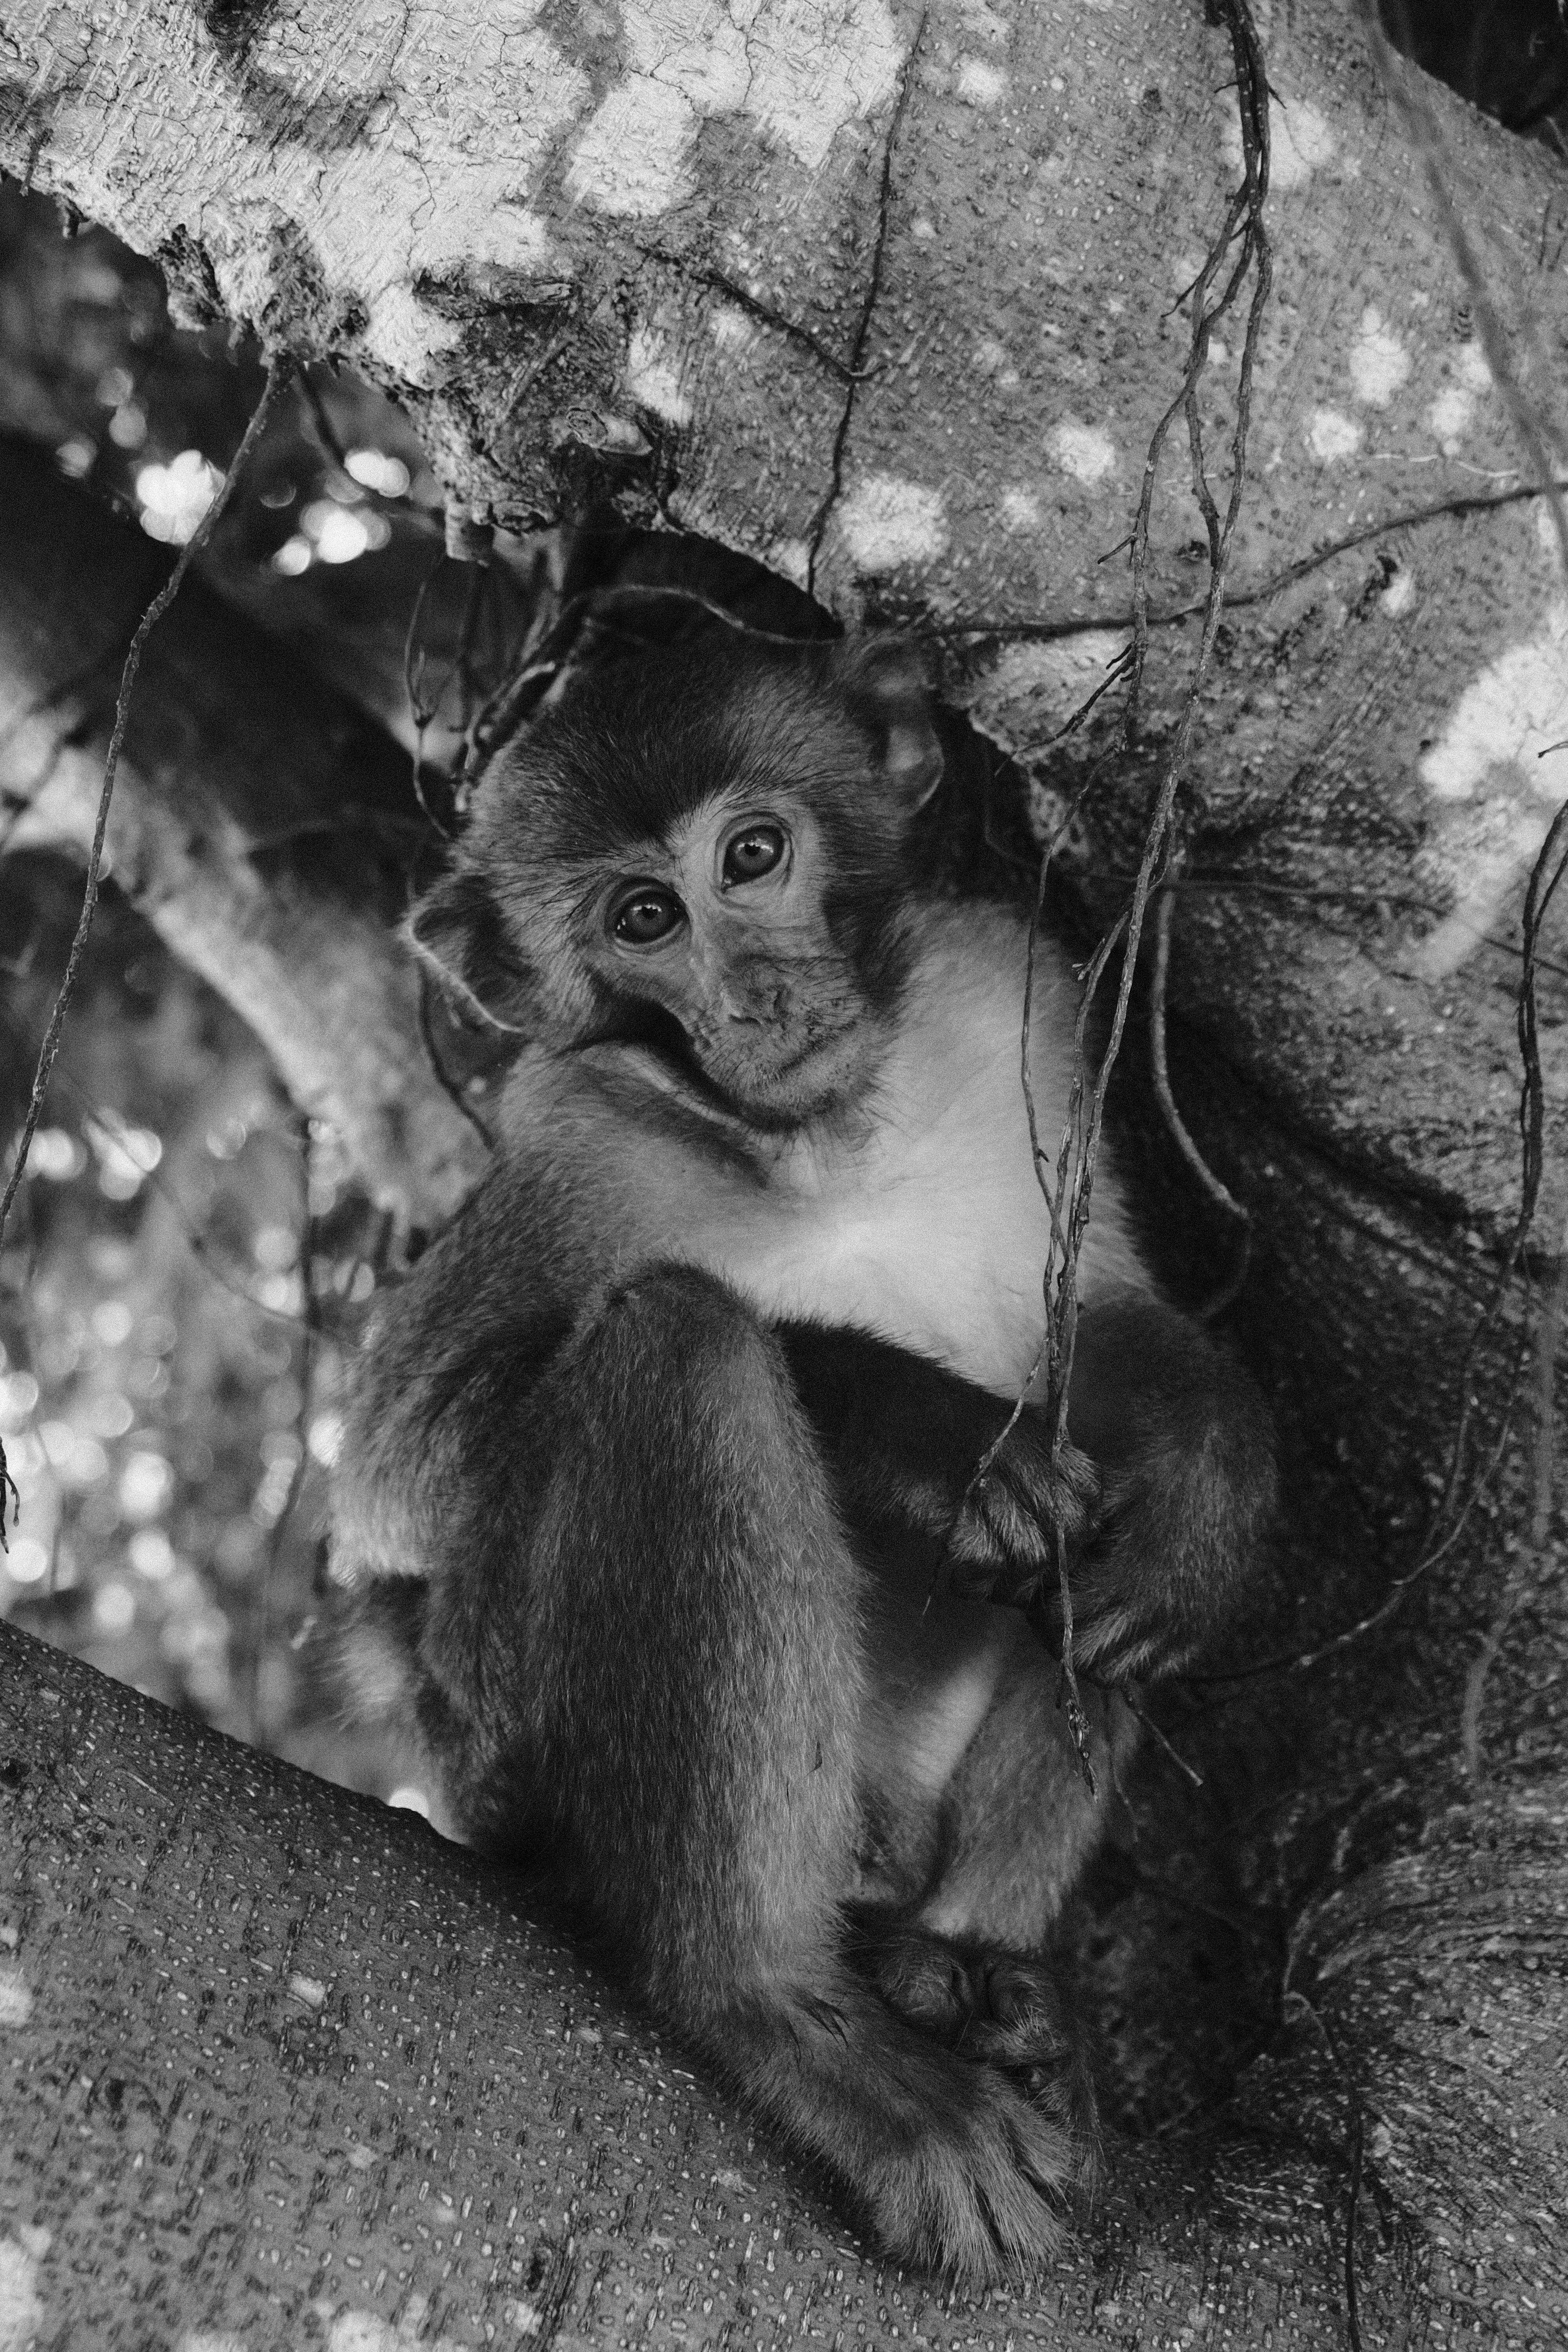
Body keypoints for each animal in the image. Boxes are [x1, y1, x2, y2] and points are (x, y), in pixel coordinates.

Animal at [330, 588, 1275, 2284]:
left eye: (754, 857)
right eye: (643, 919)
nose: (757, 999)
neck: (834, 1138)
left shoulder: (1010, 995)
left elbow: (1097, 1304)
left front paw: (1215, 1476)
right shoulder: (578, 1147)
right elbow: (397, 1490)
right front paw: (936, 1439)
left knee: (1094, 1604)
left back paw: (974, 1969)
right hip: (501, 1732)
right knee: (677, 1351)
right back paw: (787, 2017)